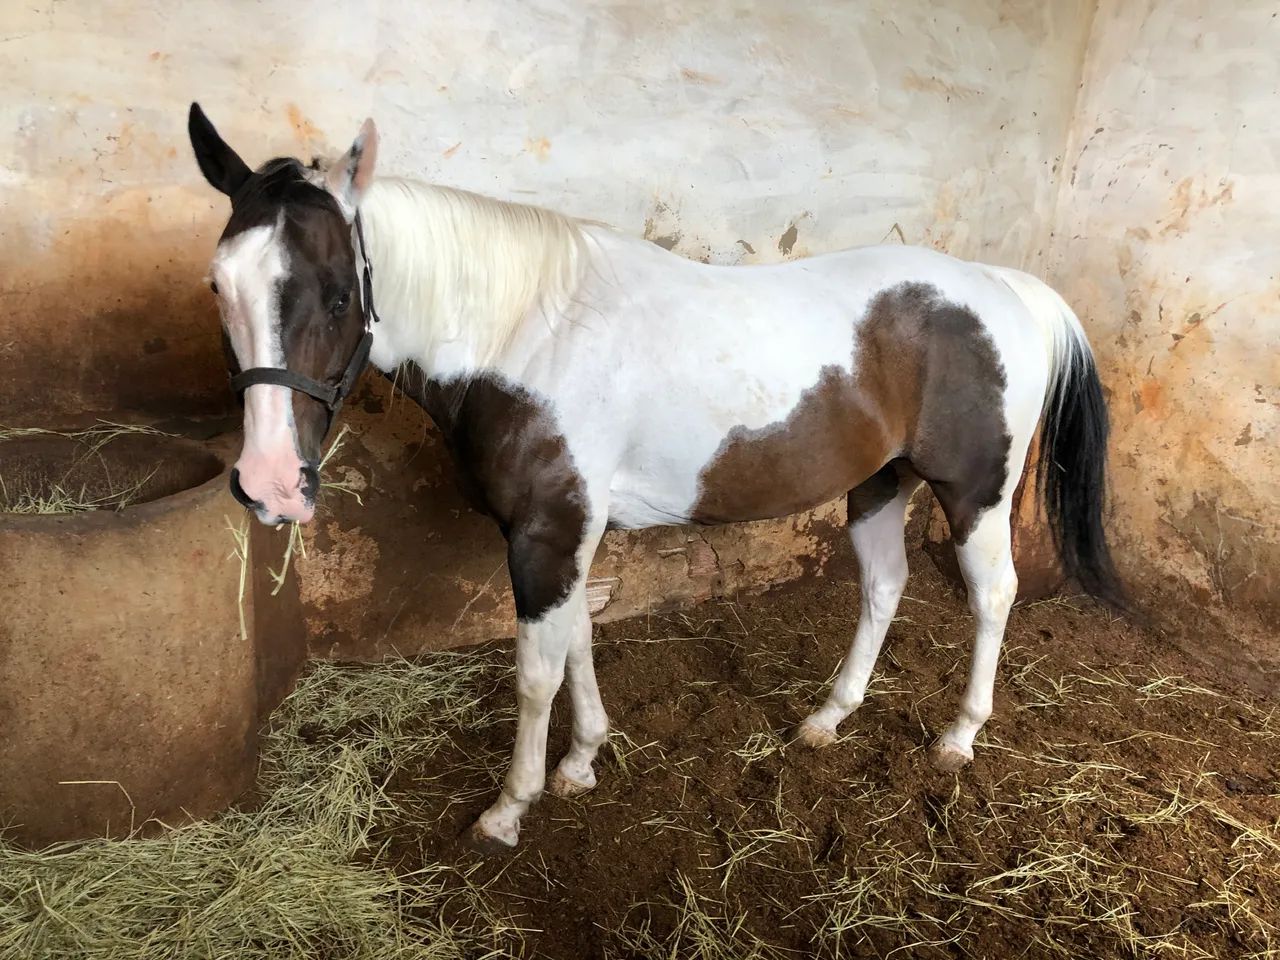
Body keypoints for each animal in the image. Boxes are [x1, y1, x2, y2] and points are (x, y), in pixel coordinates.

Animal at [187, 104, 1124, 851]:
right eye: (219, 285)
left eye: (338, 294)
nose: (269, 483)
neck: (529, 334)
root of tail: (1005, 287)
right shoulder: (570, 533)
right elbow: (579, 641)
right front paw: (581, 763)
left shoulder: (547, 533)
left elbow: (537, 672)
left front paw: (509, 809)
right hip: (879, 485)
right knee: (885, 587)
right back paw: (827, 719)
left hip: (974, 496)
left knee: (993, 596)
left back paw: (958, 738)